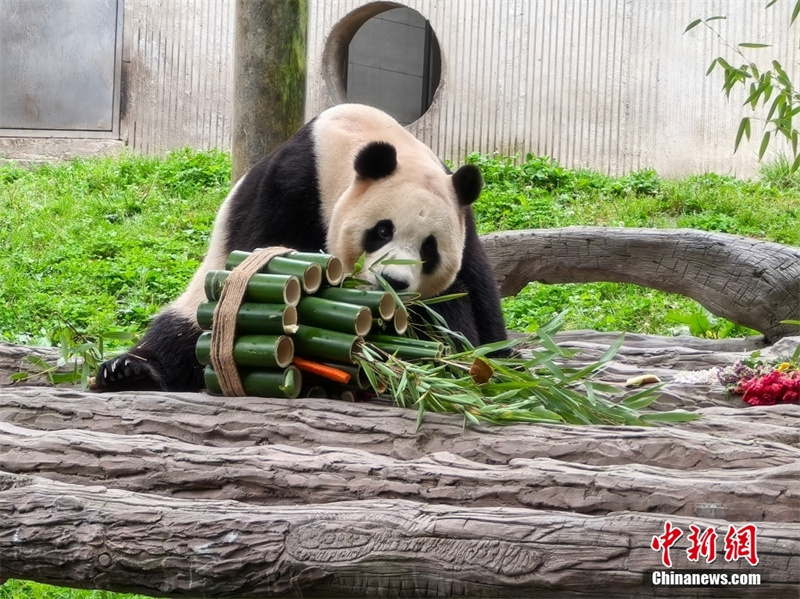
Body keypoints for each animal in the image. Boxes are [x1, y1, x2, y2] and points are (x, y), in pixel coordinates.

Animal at [96, 103, 507, 392]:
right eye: (382, 231)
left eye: (429, 249)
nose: (394, 282)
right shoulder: (292, 188)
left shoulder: (462, 224)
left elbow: (466, 307)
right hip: (199, 300)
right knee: (184, 334)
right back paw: (129, 371)